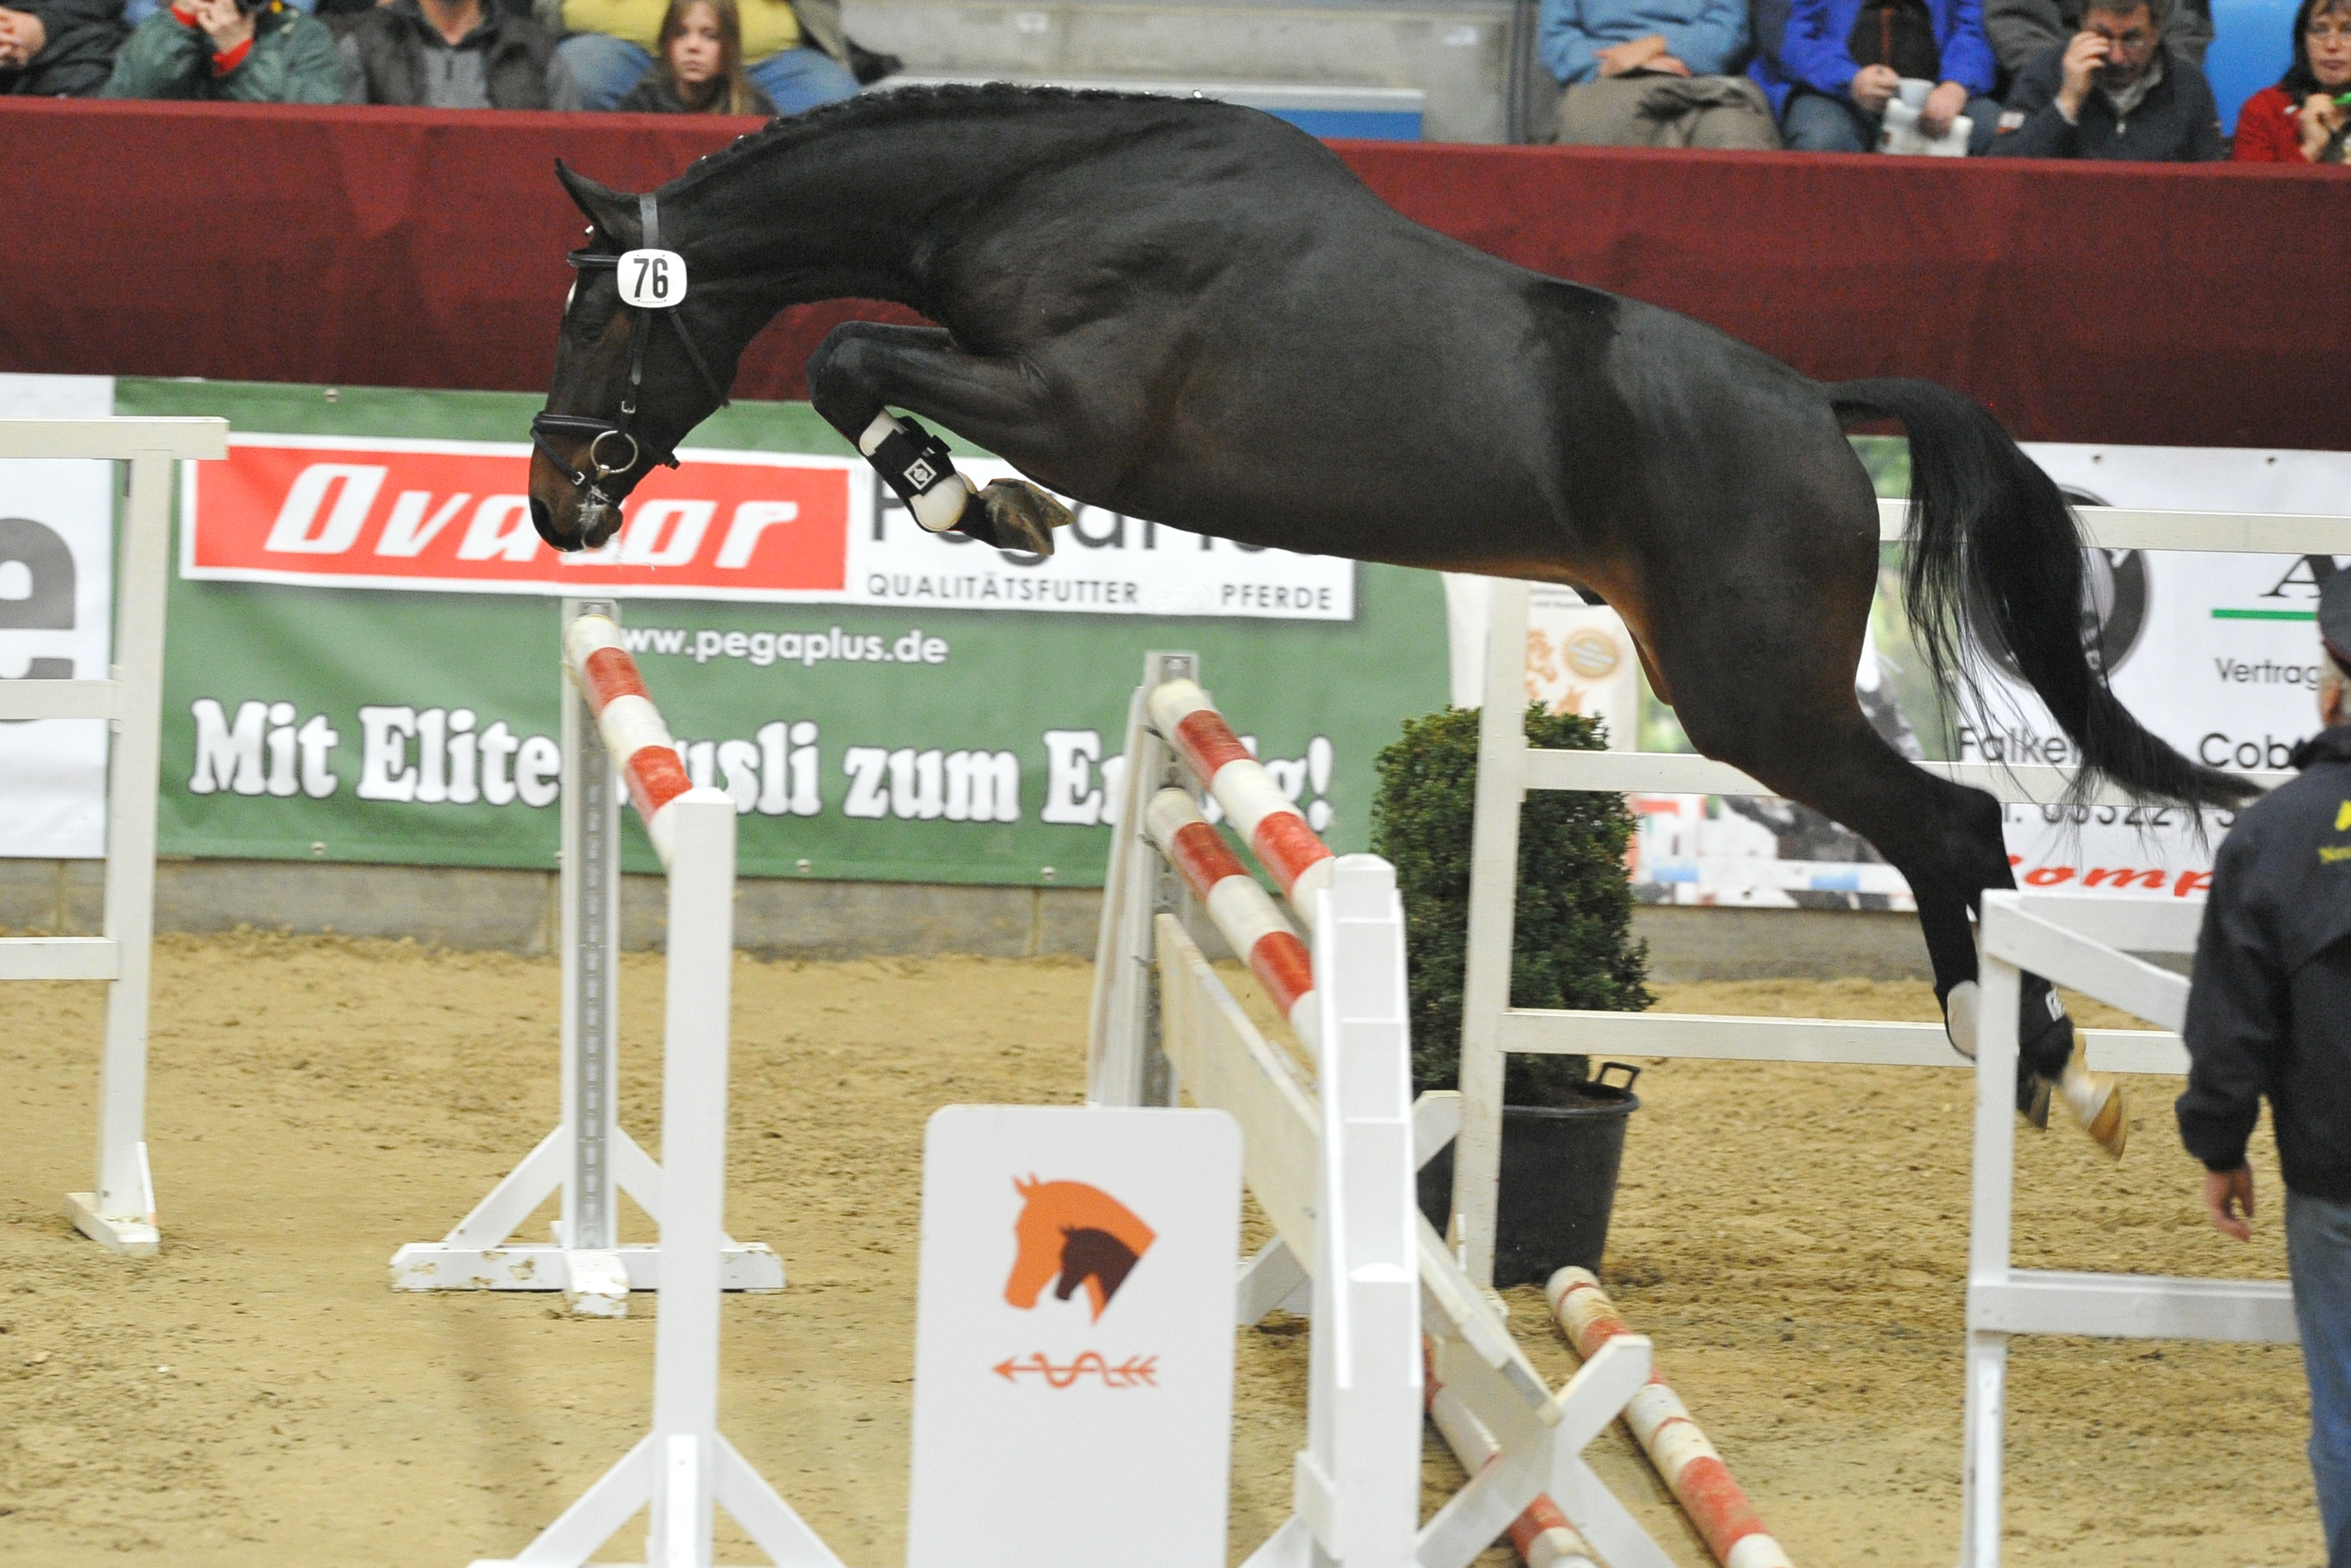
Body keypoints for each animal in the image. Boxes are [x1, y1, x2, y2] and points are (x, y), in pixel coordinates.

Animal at [526, 84, 2254, 1146]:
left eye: (602, 312)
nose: (556, 502)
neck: (1043, 193)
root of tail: (1818, 408)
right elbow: (853, 363)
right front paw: (977, 508)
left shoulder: (1076, 411)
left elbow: (848, 359)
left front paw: (980, 510)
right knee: (1936, 828)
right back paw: (2024, 1052)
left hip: (1754, 695)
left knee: (1951, 821)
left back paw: (2025, 1050)